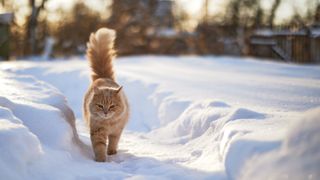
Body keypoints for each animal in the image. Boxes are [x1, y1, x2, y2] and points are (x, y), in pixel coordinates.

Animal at [83, 27, 129, 162]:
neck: (108, 124)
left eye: (112, 106)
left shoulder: (117, 131)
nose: (105, 112)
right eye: (100, 106)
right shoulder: (97, 132)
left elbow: (113, 142)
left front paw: (111, 152)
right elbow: (99, 147)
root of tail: (103, 77)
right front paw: (101, 160)